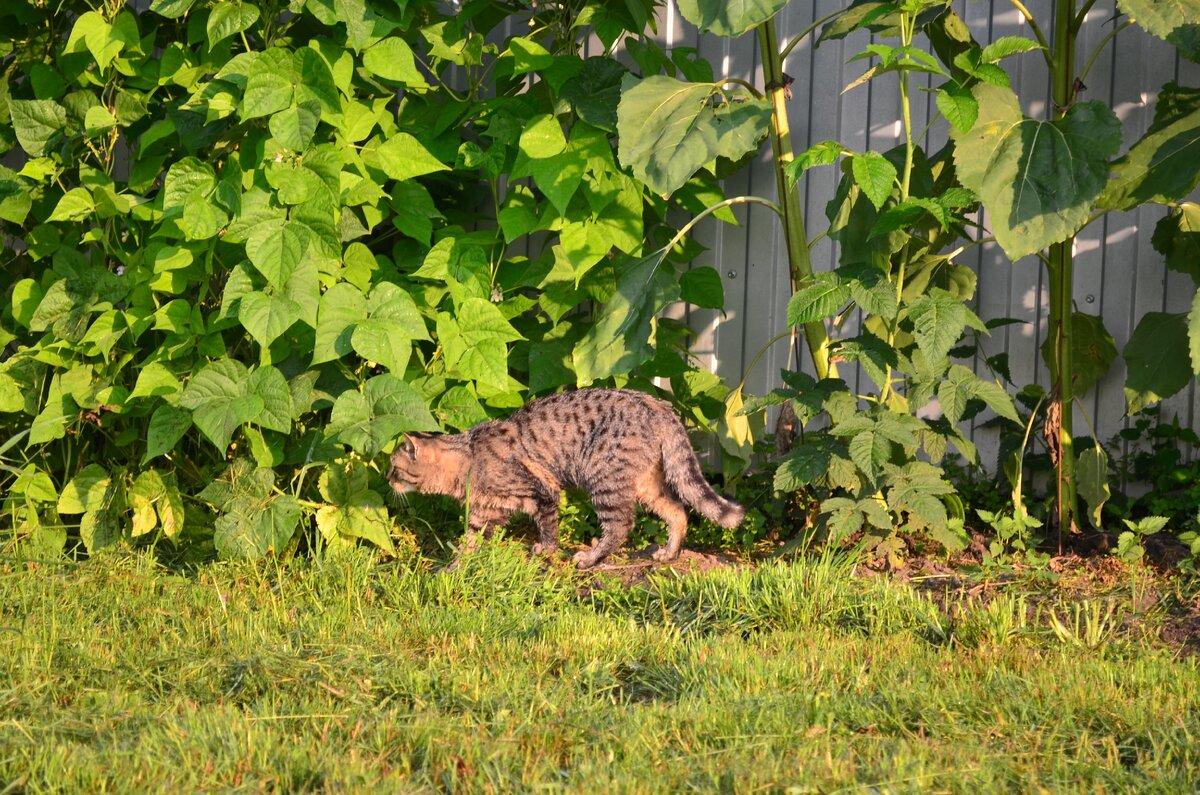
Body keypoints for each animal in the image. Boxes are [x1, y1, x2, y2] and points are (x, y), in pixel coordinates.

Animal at [386, 389, 739, 569]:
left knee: (621, 524)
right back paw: (669, 553)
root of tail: (660, 406)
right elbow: (471, 539)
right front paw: (457, 564)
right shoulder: (487, 510)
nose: (387, 480)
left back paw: (591, 558)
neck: (466, 458)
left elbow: (547, 527)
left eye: (393, 467)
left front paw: (546, 550)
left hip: (604, 478)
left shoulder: (543, 490)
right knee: (678, 510)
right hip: (646, 483)